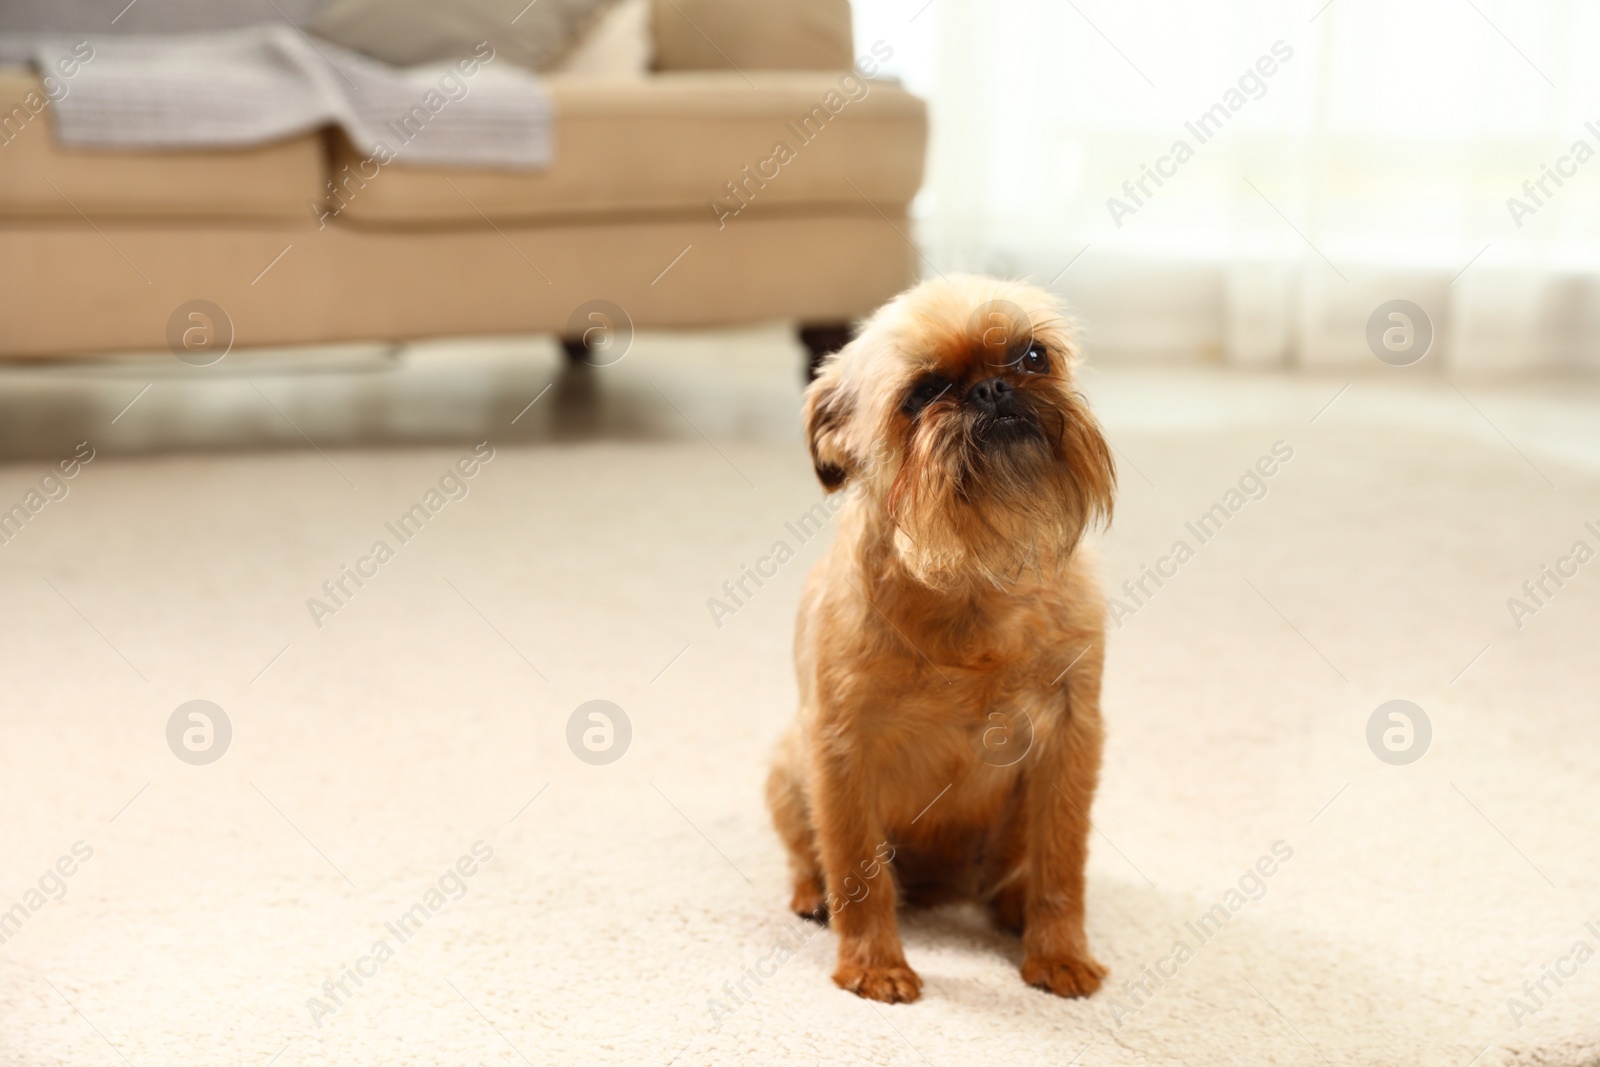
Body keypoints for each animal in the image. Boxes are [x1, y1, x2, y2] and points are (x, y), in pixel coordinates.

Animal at [761, 273, 1113, 1004]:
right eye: (922, 393)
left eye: (1033, 356)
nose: (992, 388)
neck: (970, 572)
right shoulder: (841, 748)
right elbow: (856, 865)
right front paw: (874, 964)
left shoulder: (1071, 738)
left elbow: (1063, 861)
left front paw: (1059, 952)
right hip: (787, 763)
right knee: (814, 857)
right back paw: (814, 895)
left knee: (1016, 865)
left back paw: (1013, 904)